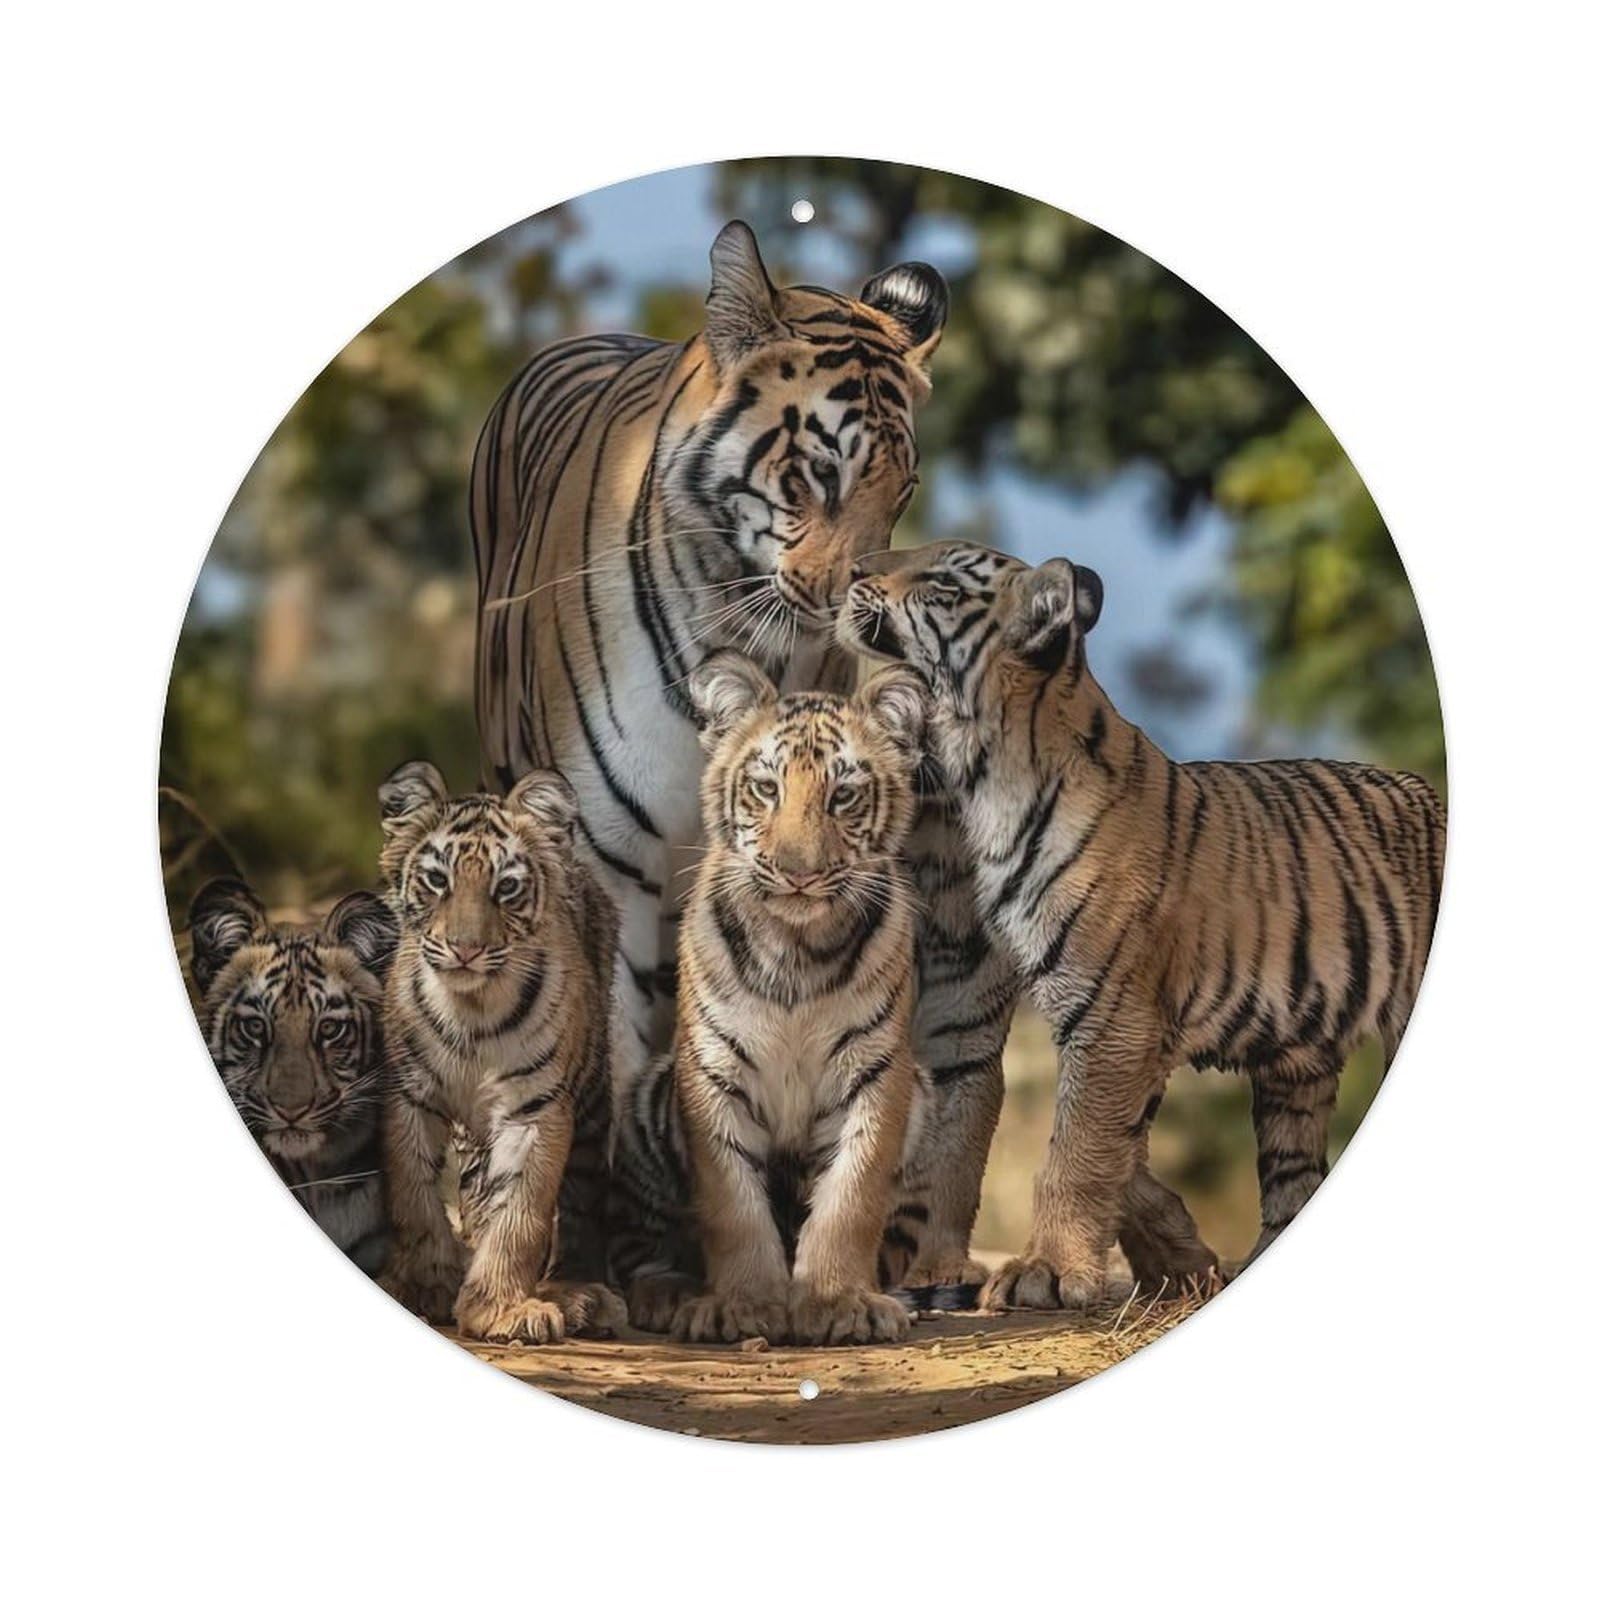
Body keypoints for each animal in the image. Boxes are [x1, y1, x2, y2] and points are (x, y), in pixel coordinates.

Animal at [374, 759, 626, 1344]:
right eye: (437, 879)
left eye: (506, 887)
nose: (466, 949)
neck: (473, 1011)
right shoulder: (408, 1097)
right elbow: (414, 1196)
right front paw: (426, 1284)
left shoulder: (535, 1111)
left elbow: (520, 1213)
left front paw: (501, 1308)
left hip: (592, 1099)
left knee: (578, 1202)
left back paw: (577, 1294)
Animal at [637, 651, 932, 1345]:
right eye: (766, 788)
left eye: (843, 794)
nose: (798, 873)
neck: (798, 950)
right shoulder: (710, 1072)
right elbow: (732, 1200)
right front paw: (741, 1305)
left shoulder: (878, 1073)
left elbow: (852, 1193)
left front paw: (838, 1302)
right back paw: (664, 1294)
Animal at [838, 540, 1445, 1308]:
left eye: (942, 583)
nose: (854, 570)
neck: (982, 773)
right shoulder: (1118, 1024)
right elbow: (1116, 1151)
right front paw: (1172, 1253)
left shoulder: (1113, 1017)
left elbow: (1077, 1152)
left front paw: (1044, 1271)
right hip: (1294, 1068)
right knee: (1291, 1178)